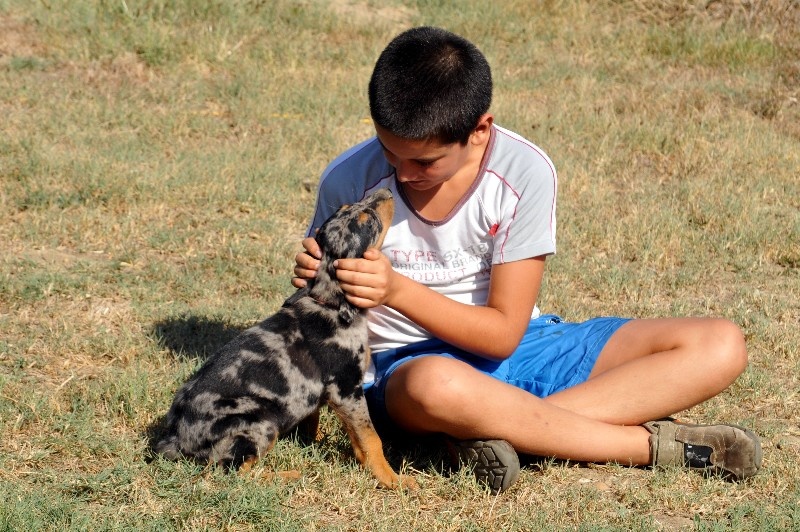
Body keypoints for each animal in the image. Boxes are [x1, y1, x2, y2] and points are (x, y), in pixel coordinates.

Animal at [155, 188, 416, 490]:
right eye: (369, 220)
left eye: (348, 207)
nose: (385, 191)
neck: (329, 304)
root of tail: (173, 438)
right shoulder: (346, 389)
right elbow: (371, 437)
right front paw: (391, 478)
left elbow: (318, 423)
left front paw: (313, 443)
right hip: (261, 421)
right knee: (233, 471)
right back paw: (288, 476)